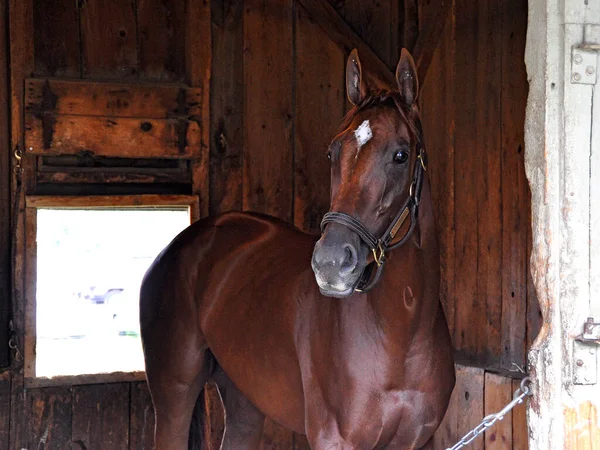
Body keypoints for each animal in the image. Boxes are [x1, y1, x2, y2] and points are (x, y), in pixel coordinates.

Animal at [138, 47, 452, 448]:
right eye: (333, 152)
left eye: (401, 155)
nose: (331, 261)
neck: (402, 337)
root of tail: (180, 245)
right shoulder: (333, 439)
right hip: (174, 393)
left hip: (245, 399)